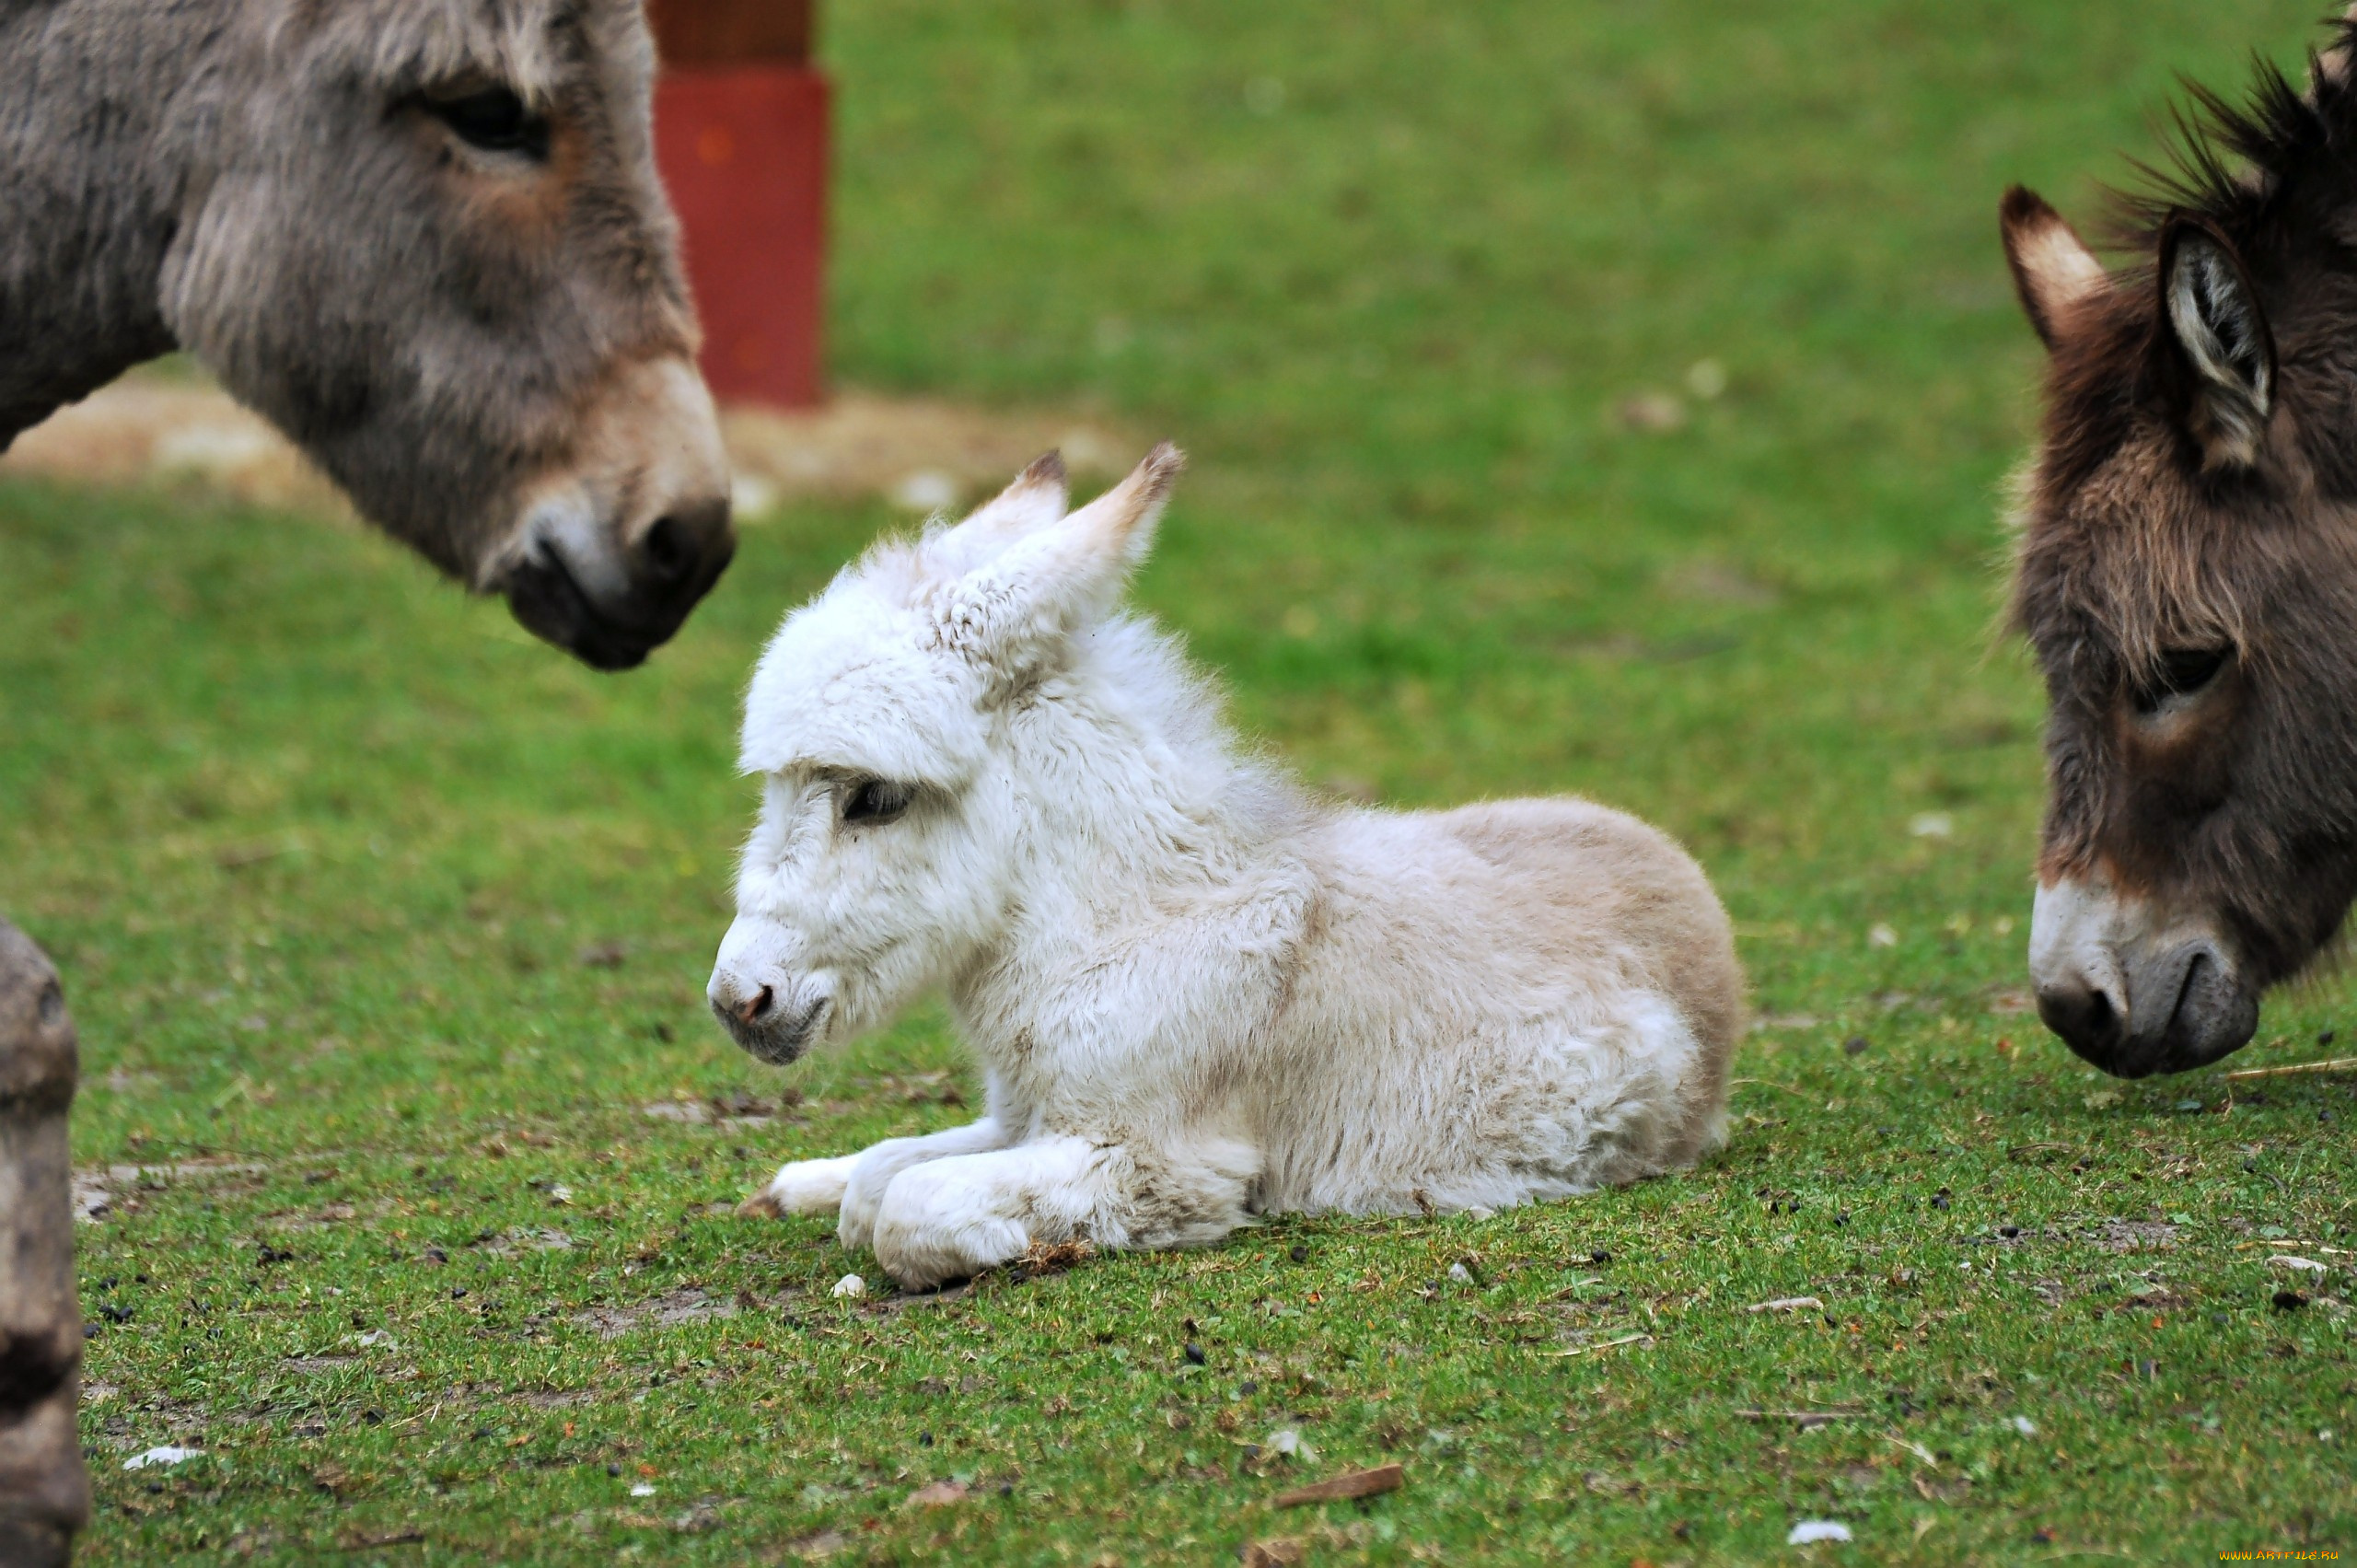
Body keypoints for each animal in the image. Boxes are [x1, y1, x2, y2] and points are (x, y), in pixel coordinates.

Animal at [707, 440, 1744, 1283]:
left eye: (874, 798)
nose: (737, 1001)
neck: (1127, 928)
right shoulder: (1022, 1116)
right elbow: (884, 1171)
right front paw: (819, 1182)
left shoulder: (1151, 1156)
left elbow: (900, 1208)